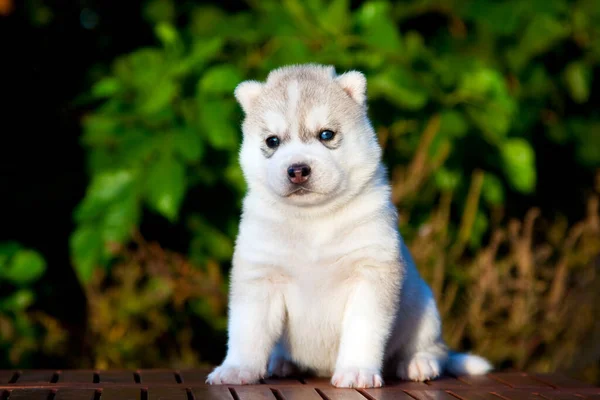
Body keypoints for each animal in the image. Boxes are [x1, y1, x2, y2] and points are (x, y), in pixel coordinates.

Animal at [206, 63, 492, 388]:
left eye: (326, 134)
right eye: (272, 141)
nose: (298, 170)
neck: (313, 221)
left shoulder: (370, 273)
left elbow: (362, 330)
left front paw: (356, 371)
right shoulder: (259, 277)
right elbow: (246, 331)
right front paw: (236, 369)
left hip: (425, 310)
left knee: (435, 350)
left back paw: (418, 363)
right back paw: (282, 363)